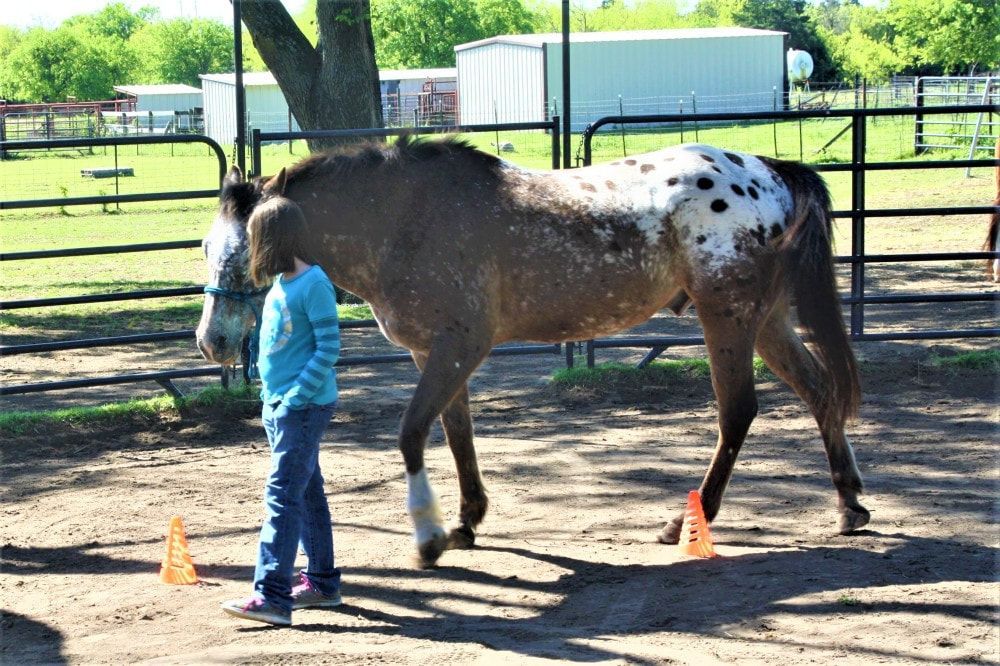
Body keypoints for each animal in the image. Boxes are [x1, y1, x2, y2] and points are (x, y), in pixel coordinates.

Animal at [196, 135, 867, 567]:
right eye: (206, 248)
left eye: (244, 252)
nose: (212, 342)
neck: (404, 219)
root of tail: (769, 173)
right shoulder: (434, 355)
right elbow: (456, 434)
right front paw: (467, 520)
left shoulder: (461, 346)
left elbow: (412, 434)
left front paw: (431, 536)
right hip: (767, 321)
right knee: (820, 391)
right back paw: (849, 506)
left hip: (726, 316)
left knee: (738, 413)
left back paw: (686, 522)